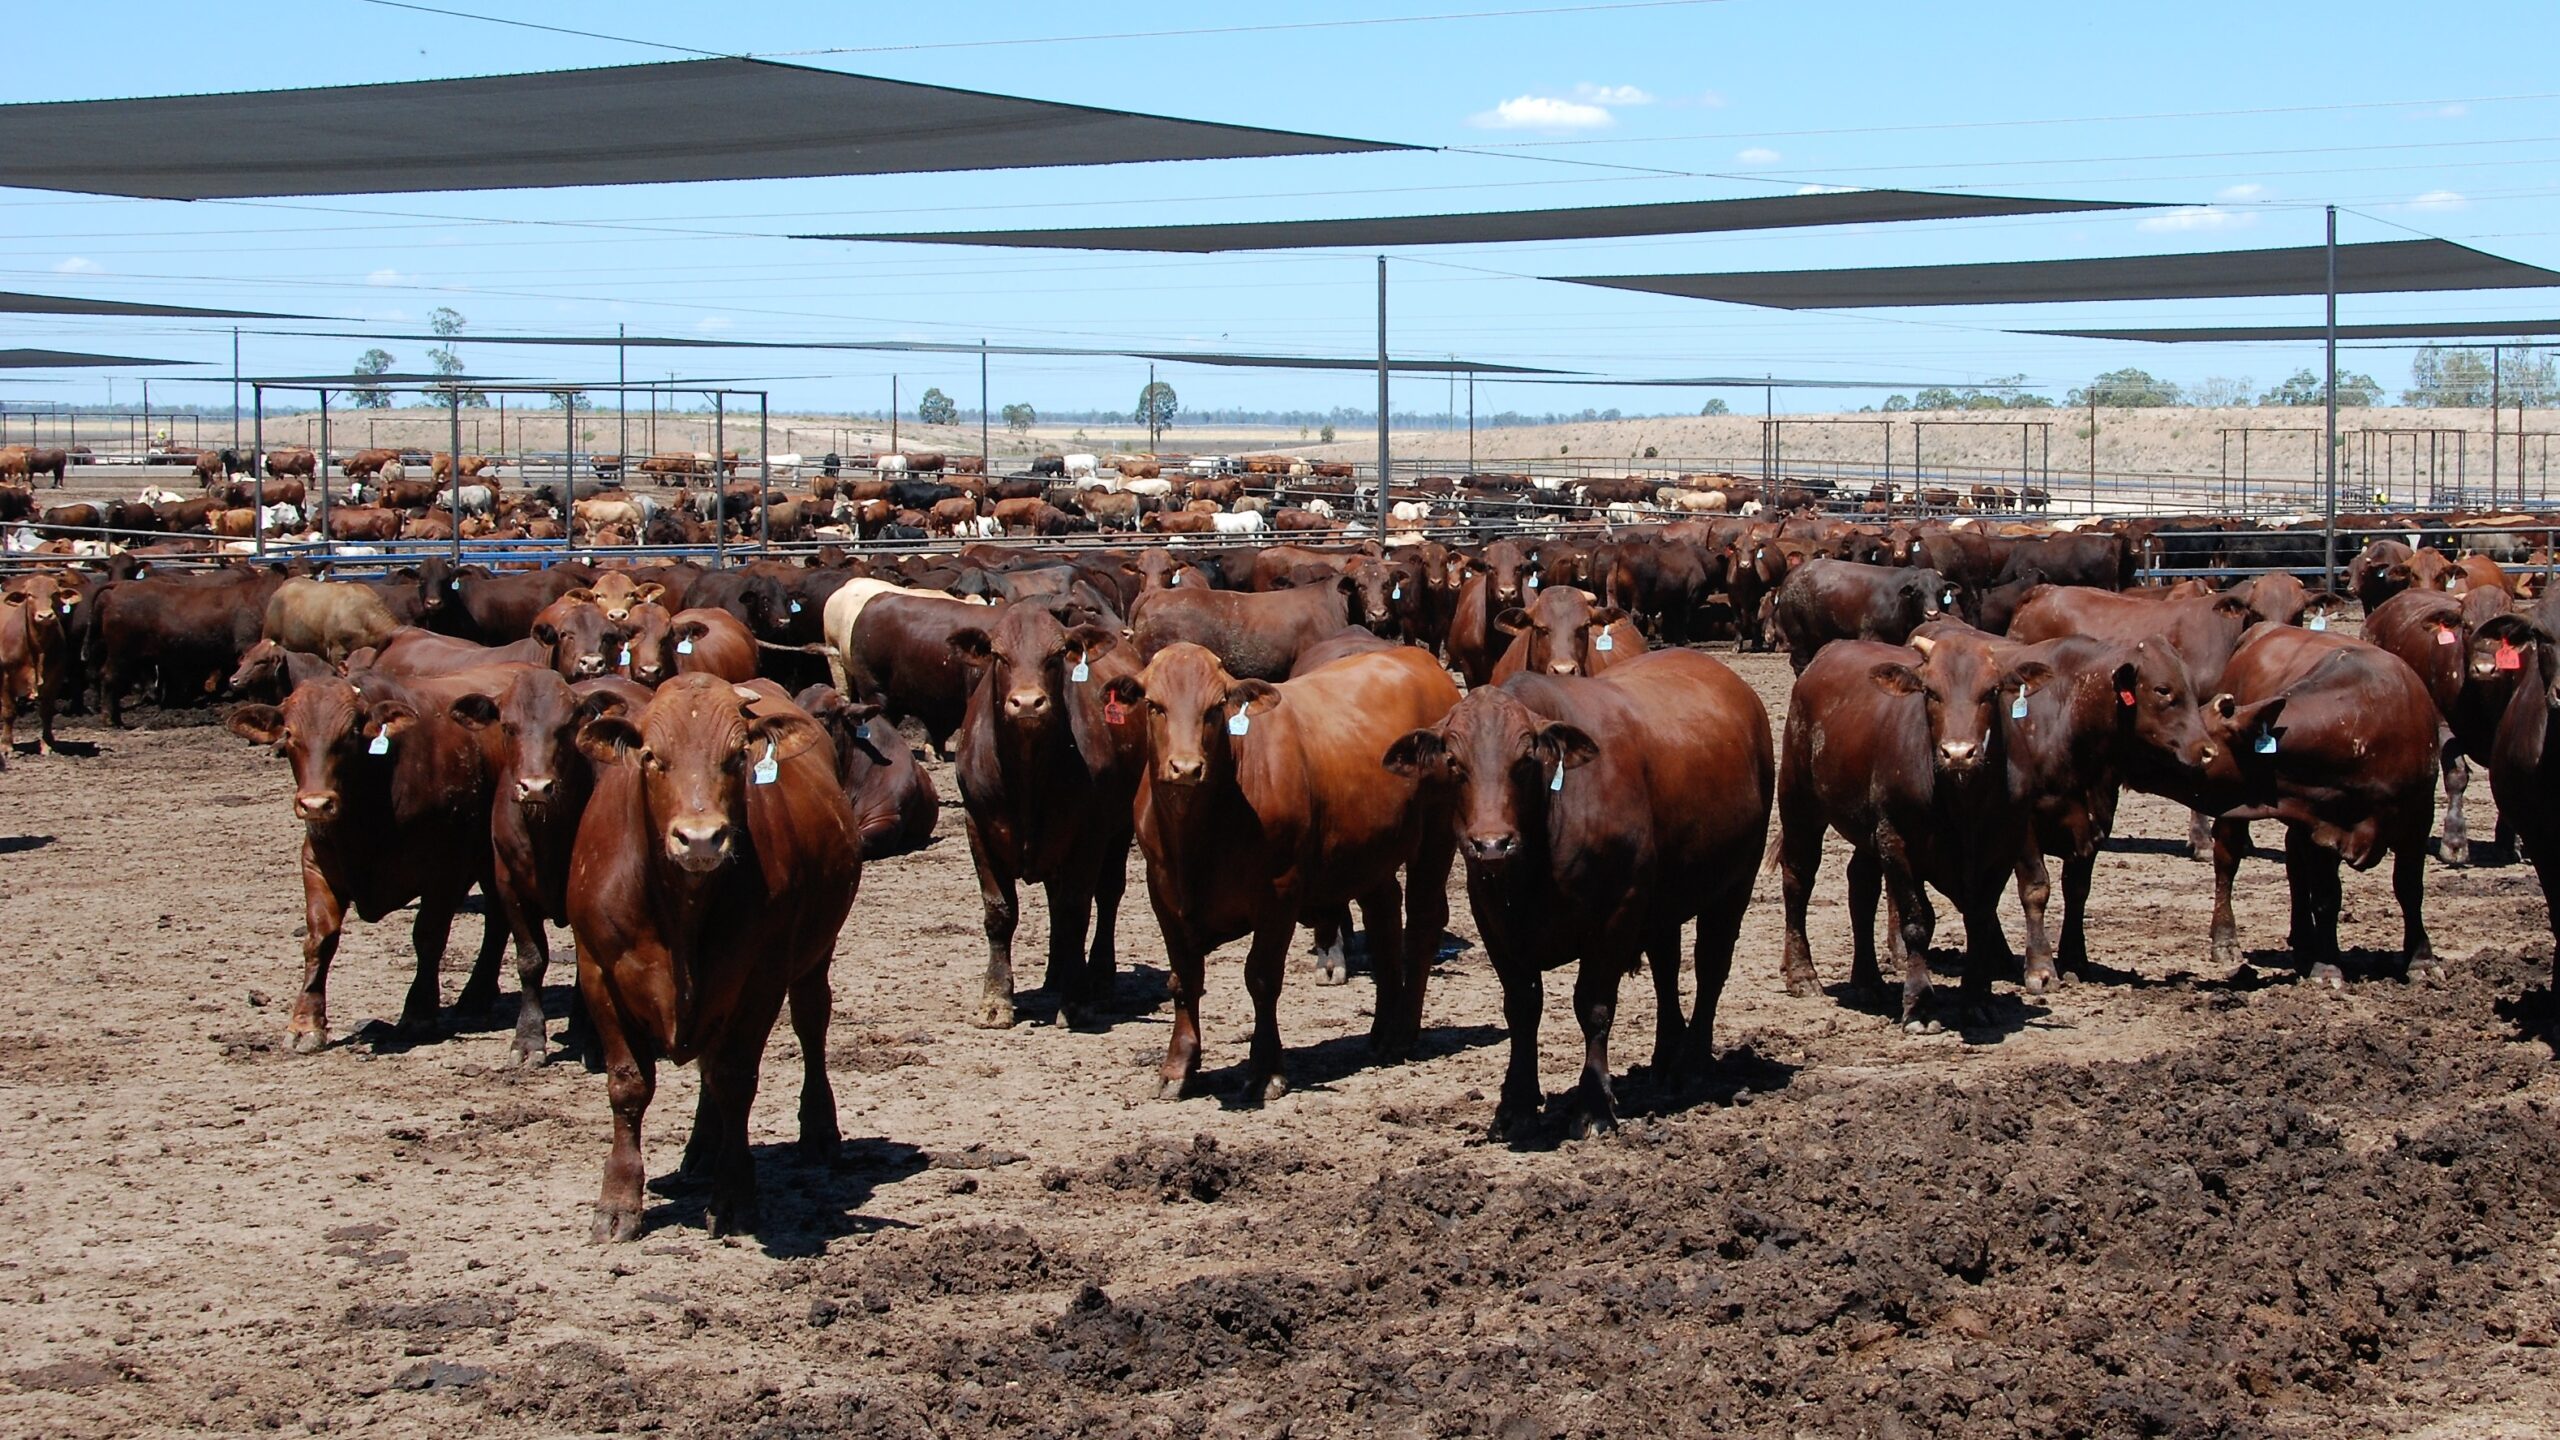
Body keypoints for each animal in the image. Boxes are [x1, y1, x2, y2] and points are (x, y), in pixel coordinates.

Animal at [565, 671, 855, 1235]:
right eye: (651, 756)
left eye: (739, 756)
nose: (700, 839)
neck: (681, 912)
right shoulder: (597, 972)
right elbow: (629, 1085)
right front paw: (618, 1201)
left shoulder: (761, 976)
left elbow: (736, 1077)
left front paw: (735, 1194)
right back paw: (700, 1150)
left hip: (814, 956)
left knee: (810, 1025)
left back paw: (818, 1131)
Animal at [947, 602, 1136, 1019]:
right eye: (999, 655)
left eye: (1056, 655)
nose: (1028, 703)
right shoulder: (977, 826)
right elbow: (1000, 912)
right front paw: (996, 999)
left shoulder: (1090, 831)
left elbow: (1076, 909)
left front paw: (1076, 997)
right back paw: (1055, 973)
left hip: (1121, 829)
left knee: (1107, 897)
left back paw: (1098, 978)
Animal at [1100, 640, 1464, 1096]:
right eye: (1154, 705)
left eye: (1216, 708)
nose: (1185, 767)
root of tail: (1419, 660)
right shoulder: (1162, 894)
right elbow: (1184, 979)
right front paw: (1177, 1067)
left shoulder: (1279, 892)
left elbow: (1262, 977)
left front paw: (1265, 1070)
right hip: (1370, 853)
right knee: (1384, 925)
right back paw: (1381, 1032)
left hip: (1435, 839)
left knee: (1420, 927)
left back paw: (1402, 1033)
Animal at [1392, 648, 1771, 1132]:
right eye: (1455, 763)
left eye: (1525, 759)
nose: (1492, 844)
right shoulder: (1493, 918)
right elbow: (1522, 1008)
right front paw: (1516, 1105)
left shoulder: (1617, 911)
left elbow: (1593, 1005)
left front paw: (1593, 1104)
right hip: (1663, 901)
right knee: (1666, 967)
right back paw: (1666, 1058)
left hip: (1736, 882)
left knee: (1711, 966)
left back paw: (1694, 1062)